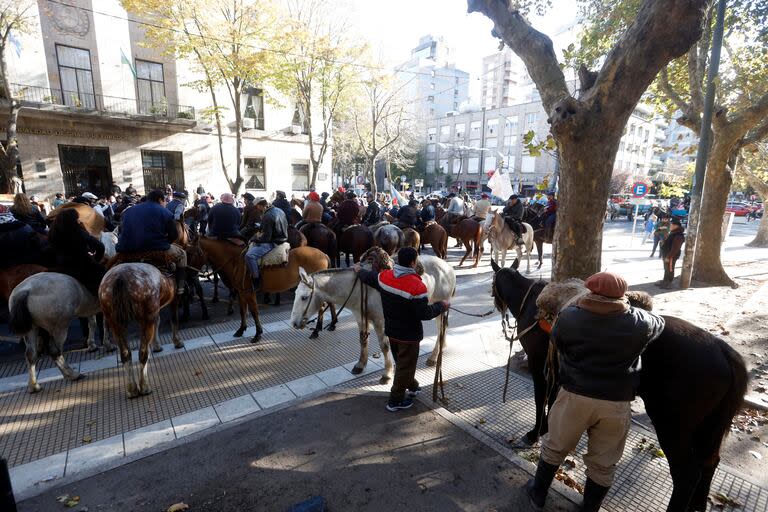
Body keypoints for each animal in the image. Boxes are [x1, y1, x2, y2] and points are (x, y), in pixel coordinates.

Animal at [99, 264, 182, 400]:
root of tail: (120, 278)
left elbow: (158, 320)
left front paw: (157, 345)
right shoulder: (174, 295)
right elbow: (174, 319)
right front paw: (177, 341)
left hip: (114, 320)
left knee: (125, 353)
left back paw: (131, 389)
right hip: (146, 316)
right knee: (143, 352)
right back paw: (144, 387)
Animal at [196, 239, 334, 340]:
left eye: (193, 251)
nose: (192, 274)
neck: (236, 261)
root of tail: (323, 254)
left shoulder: (249, 293)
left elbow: (254, 312)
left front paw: (257, 334)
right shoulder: (241, 293)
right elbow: (243, 311)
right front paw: (241, 330)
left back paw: (317, 331)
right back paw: (330, 325)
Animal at [290, 256, 456, 384]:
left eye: (304, 297)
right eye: (295, 294)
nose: (294, 323)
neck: (360, 288)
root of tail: (448, 266)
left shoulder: (379, 321)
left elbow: (384, 346)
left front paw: (387, 373)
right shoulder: (360, 317)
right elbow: (363, 341)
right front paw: (360, 365)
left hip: (440, 306)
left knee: (441, 329)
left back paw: (433, 357)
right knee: (443, 329)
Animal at [488, 260, 748, 512]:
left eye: (492, 284)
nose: (495, 305)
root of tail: (724, 352)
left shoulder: (539, 365)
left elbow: (540, 400)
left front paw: (534, 433)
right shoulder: (558, 372)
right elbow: (551, 403)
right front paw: (544, 430)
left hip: (673, 426)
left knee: (687, 474)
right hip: (709, 427)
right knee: (709, 462)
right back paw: (698, 505)